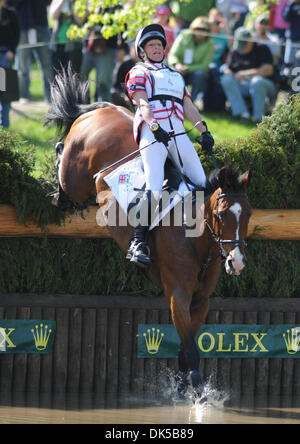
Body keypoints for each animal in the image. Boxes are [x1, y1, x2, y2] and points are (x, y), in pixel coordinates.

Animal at [44, 67, 251, 398]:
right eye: (221, 215)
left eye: (249, 216)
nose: (238, 262)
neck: (196, 239)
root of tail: (99, 109)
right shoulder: (177, 294)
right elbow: (190, 350)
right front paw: (197, 395)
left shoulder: (201, 300)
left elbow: (184, 349)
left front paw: (181, 387)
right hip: (75, 177)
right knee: (63, 161)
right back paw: (58, 188)